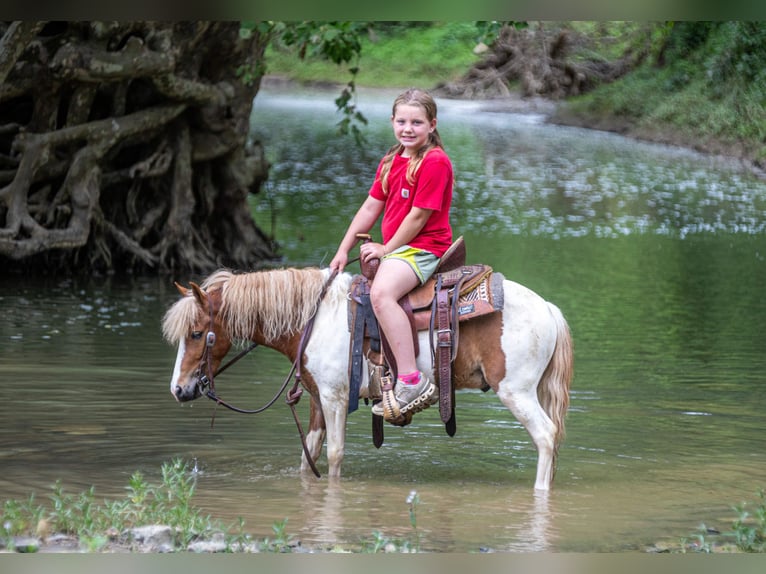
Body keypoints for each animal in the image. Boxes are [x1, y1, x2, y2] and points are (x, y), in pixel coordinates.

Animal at [162, 266, 573, 491]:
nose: (179, 389)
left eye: (196, 333)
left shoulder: (334, 398)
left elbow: (335, 454)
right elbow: (308, 455)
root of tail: (548, 309)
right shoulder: (316, 399)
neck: (314, 320)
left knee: (545, 436)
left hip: (516, 392)